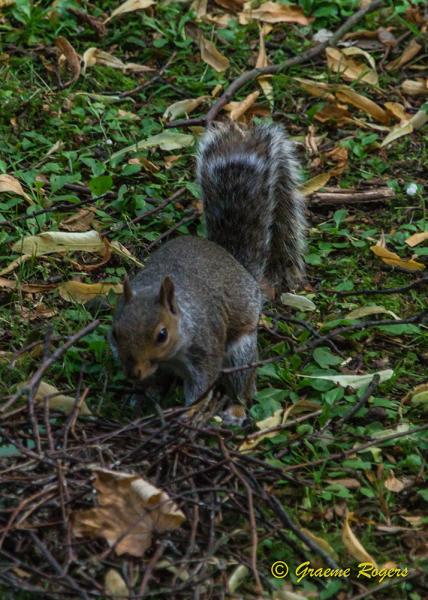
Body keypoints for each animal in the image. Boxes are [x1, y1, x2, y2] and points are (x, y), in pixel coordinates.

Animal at [110, 122, 304, 406]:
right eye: (115, 332)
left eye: (161, 335)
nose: (133, 372)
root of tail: (236, 263)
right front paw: (141, 397)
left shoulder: (206, 346)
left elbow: (202, 384)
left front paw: (189, 410)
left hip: (240, 349)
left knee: (242, 382)